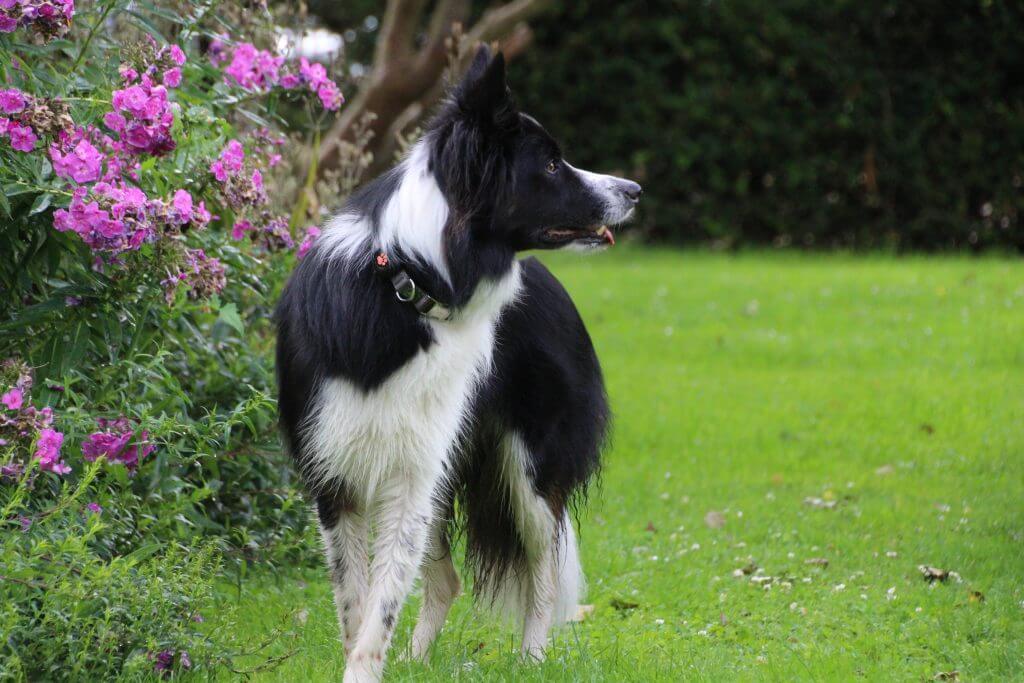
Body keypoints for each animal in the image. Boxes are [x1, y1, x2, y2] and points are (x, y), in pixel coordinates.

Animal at [274, 45, 638, 679]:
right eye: (550, 165)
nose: (635, 190)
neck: (405, 281)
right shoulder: (335, 472)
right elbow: (357, 602)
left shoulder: (411, 473)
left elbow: (381, 602)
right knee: (446, 579)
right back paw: (419, 659)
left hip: (528, 468)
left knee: (543, 569)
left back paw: (532, 657)